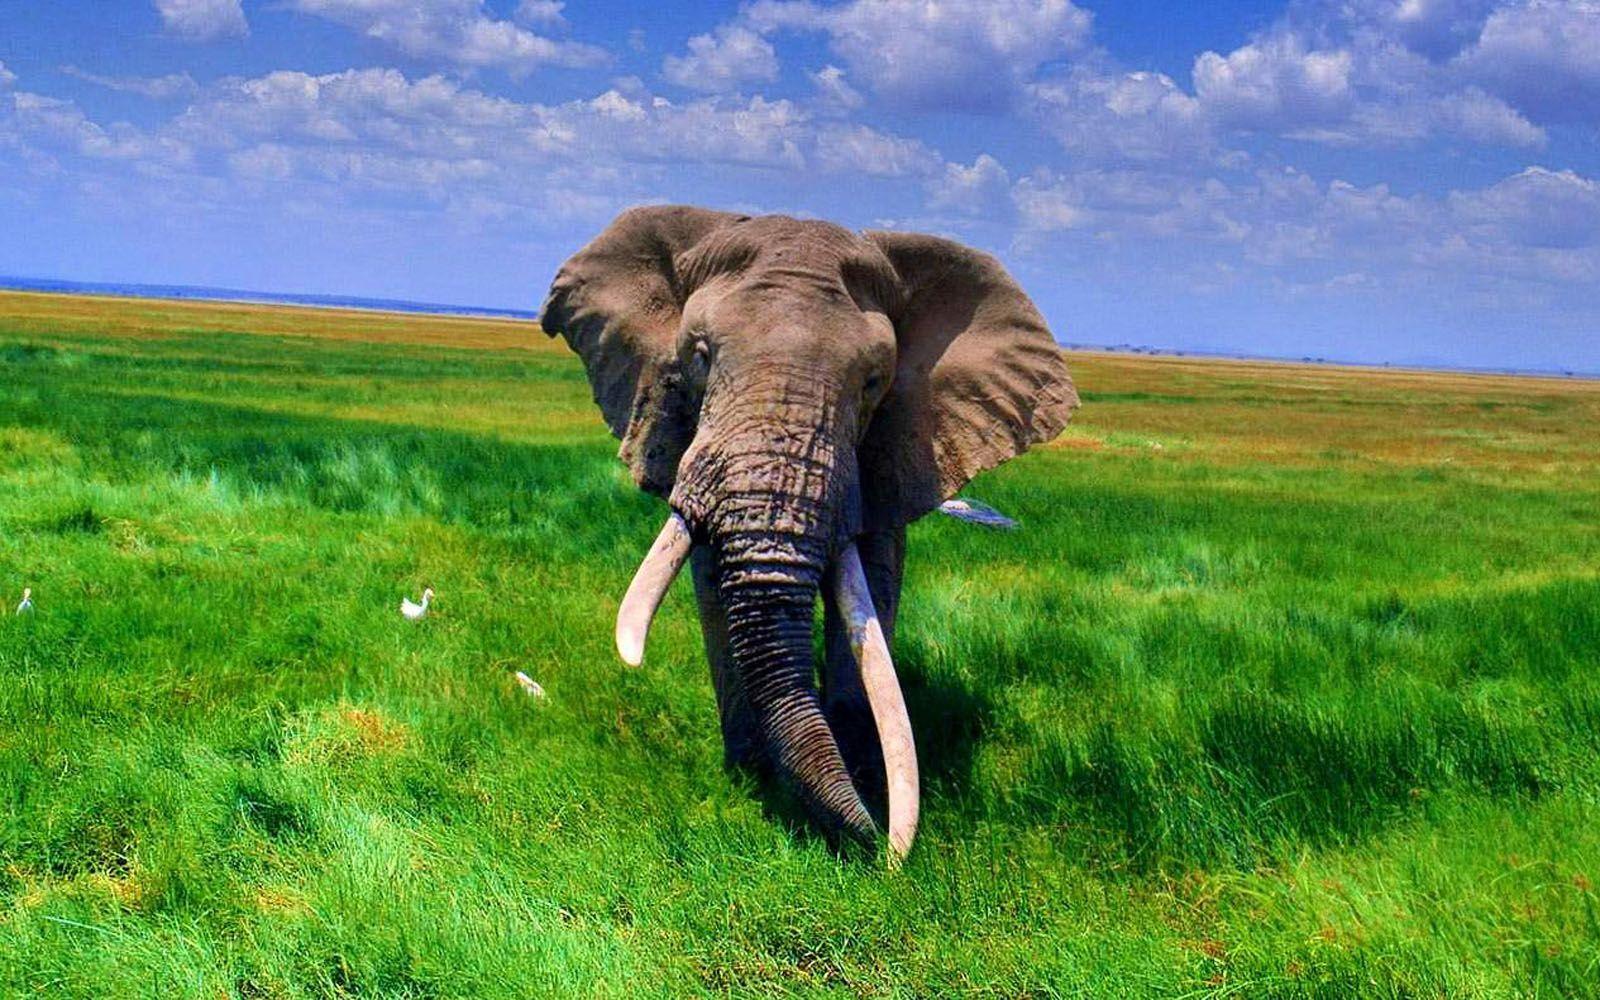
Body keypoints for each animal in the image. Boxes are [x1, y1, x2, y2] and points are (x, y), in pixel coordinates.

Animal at [541, 206, 1078, 861]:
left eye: (873, 381)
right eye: (699, 356)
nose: (883, 849)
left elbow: (874, 579)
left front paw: (863, 771)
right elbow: (712, 584)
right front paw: (751, 778)